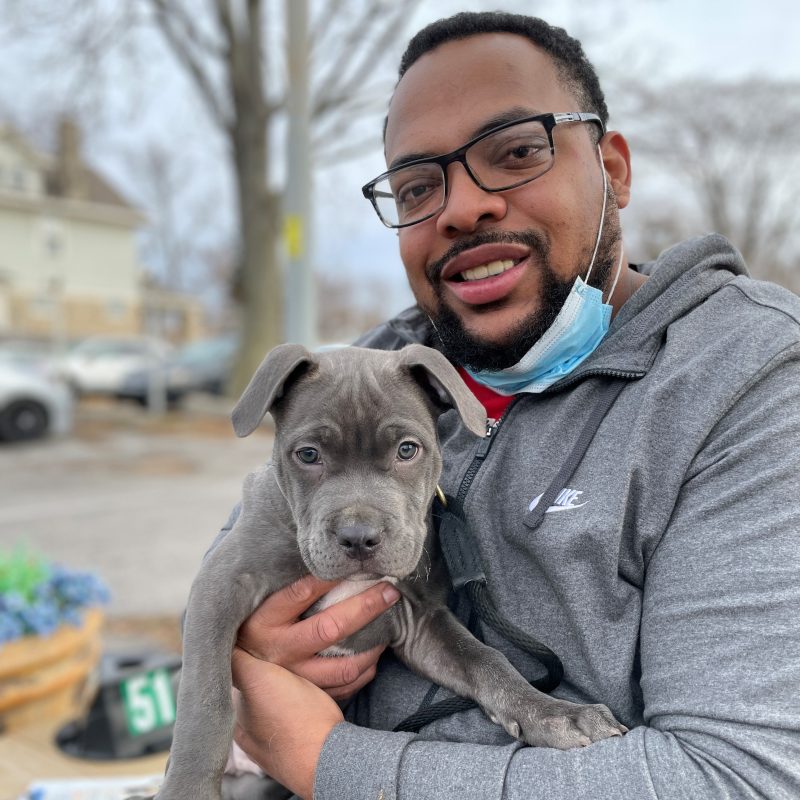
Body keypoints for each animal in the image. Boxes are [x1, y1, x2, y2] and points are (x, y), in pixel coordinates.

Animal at [142, 344, 624, 800]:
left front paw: (555, 712)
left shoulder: (420, 620)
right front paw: (186, 791)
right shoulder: (221, 586)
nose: (359, 537)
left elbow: (486, 660)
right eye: (308, 455)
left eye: (407, 449)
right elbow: (206, 699)